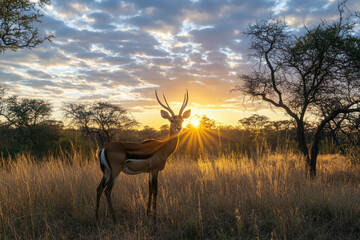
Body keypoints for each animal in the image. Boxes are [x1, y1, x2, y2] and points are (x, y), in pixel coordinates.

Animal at [95, 89, 191, 221]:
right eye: (171, 120)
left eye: (181, 119)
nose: (178, 128)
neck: (162, 147)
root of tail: (104, 148)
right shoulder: (155, 170)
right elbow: (155, 190)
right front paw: (154, 217)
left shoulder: (150, 172)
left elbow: (149, 189)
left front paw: (148, 213)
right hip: (115, 172)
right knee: (108, 190)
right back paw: (114, 219)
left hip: (107, 172)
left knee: (99, 188)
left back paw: (96, 217)